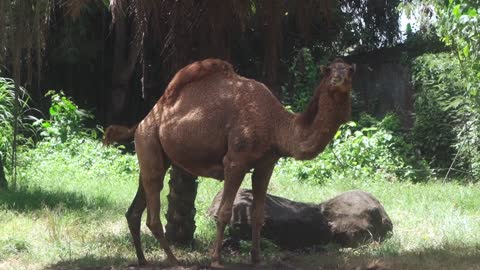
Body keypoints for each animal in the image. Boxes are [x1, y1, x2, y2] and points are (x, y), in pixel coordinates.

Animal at [106, 58, 356, 266]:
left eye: (349, 71)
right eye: (329, 71)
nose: (338, 79)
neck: (276, 125)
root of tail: (141, 122)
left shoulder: (266, 164)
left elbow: (258, 214)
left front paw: (257, 258)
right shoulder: (235, 161)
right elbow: (224, 212)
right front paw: (216, 260)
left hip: (153, 155)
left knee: (134, 210)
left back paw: (143, 261)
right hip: (149, 142)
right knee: (152, 215)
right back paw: (175, 262)